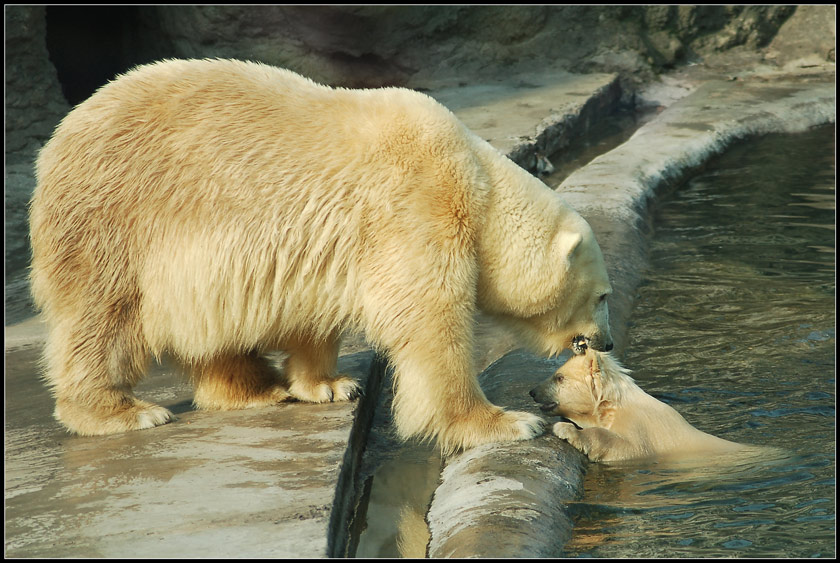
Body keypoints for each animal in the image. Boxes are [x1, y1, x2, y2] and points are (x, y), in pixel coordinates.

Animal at [29, 58, 612, 454]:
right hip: (116, 216)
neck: (479, 179)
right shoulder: (418, 206)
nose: (607, 340)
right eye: (603, 295)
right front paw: (504, 422)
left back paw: (256, 387)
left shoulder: (332, 243)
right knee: (101, 316)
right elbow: (430, 322)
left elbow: (314, 310)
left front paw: (330, 385)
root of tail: (59, 139)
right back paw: (121, 411)